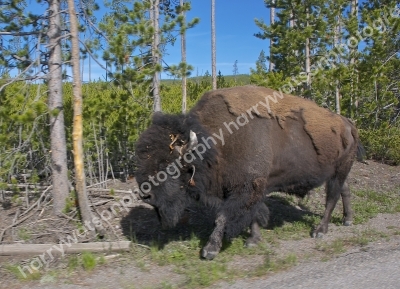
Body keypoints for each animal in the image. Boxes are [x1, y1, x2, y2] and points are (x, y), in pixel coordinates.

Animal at [136, 85, 364, 258]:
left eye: (168, 164)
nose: (146, 194)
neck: (215, 143)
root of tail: (348, 123)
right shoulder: (249, 188)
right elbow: (252, 214)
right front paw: (253, 240)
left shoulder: (245, 188)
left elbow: (223, 216)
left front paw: (210, 250)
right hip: (338, 172)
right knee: (345, 191)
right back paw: (348, 220)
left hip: (338, 172)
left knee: (331, 198)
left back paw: (320, 231)